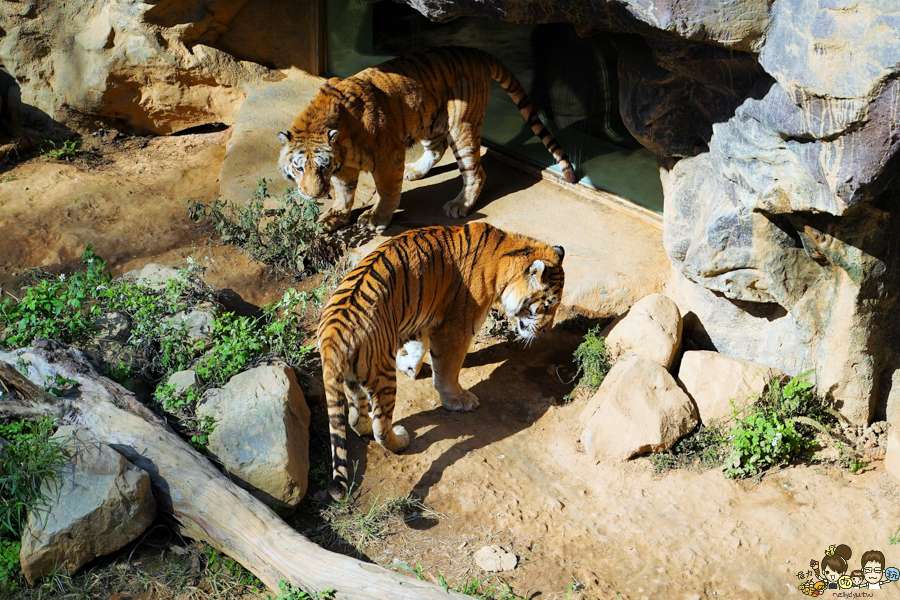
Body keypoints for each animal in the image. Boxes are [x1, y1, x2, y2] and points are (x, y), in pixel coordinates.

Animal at [278, 46, 580, 234]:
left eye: (322, 167)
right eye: (299, 168)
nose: (312, 195)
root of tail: (476, 51)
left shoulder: (388, 157)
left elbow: (387, 191)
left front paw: (376, 219)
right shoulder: (346, 168)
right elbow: (343, 193)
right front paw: (333, 217)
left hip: (461, 126)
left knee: (476, 172)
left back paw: (460, 205)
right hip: (429, 120)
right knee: (437, 148)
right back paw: (415, 171)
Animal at [316, 223, 564, 500]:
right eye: (547, 306)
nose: (547, 330)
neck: (505, 256)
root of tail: (332, 334)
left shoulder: (424, 318)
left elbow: (418, 347)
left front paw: (409, 366)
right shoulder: (457, 327)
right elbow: (449, 369)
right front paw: (458, 400)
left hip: (352, 378)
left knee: (353, 417)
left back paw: (367, 427)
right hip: (383, 377)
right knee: (381, 425)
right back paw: (400, 440)